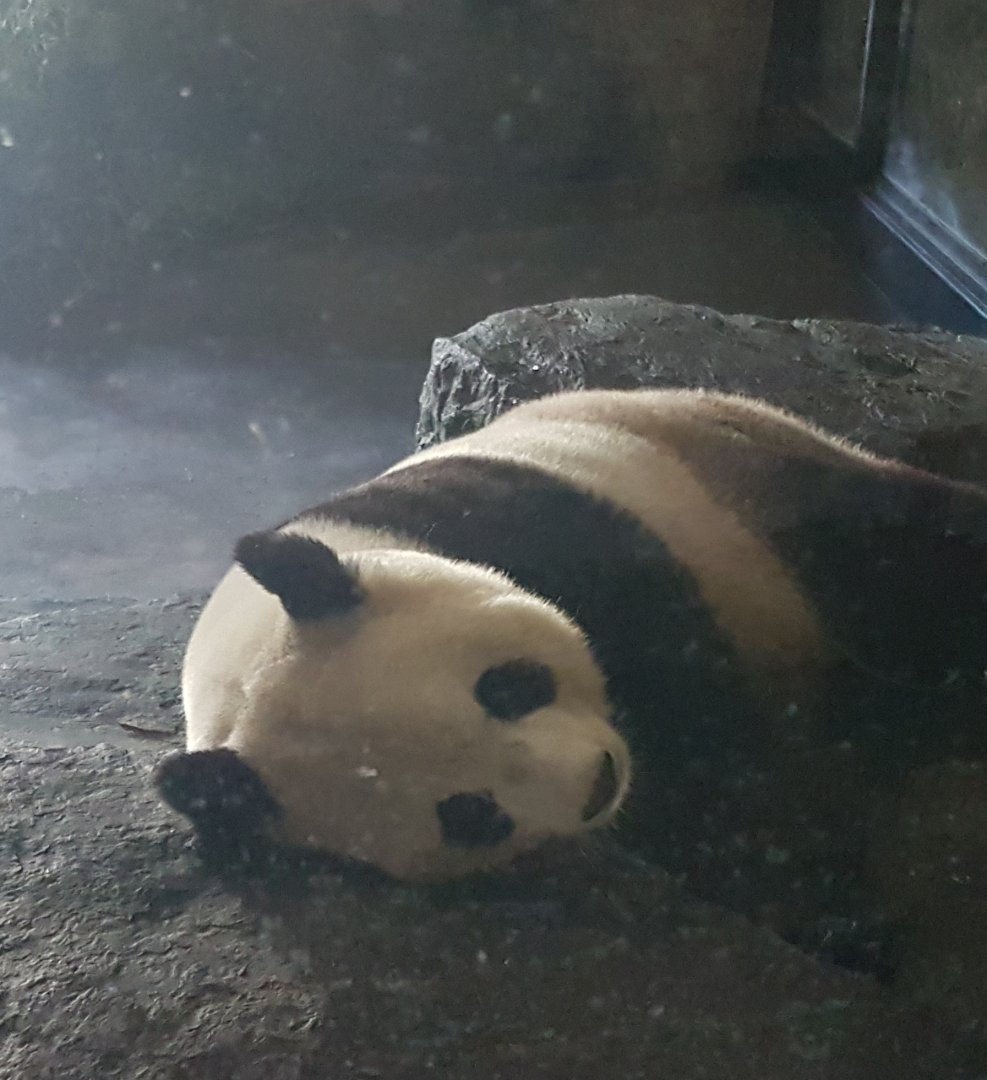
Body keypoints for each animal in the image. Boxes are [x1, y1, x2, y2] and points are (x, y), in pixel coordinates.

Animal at [155, 387, 987, 886]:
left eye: (505, 686)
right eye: (468, 812)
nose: (597, 782)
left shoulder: (552, 521)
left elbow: (702, 700)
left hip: (746, 479)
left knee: (902, 551)